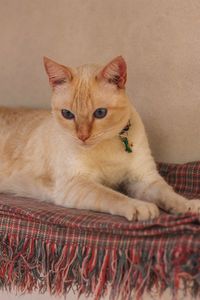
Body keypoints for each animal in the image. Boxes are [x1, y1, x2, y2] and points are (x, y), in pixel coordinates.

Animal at [0, 56, 200, 220]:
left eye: (100, 113)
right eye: (67, 114)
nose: (82, 136)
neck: (108, 145)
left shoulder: (143, 179)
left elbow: (169, 194)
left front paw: (188, 205)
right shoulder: (76, 183)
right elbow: (113, 195)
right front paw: (141, 207)